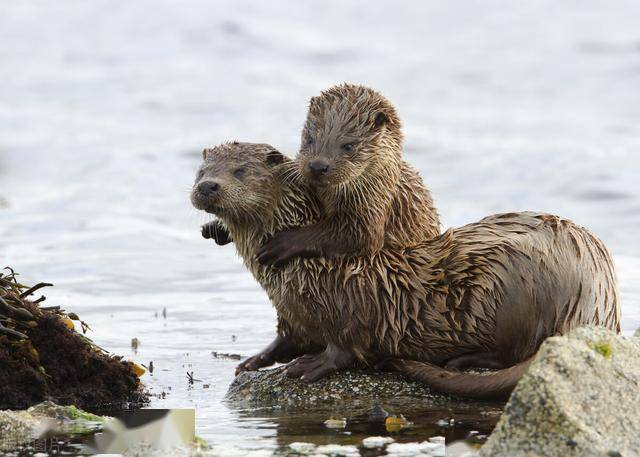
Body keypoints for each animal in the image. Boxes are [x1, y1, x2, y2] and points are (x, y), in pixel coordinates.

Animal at [194, 142, 620, 400]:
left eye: (240, 171)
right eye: (201, 169)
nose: (207, 186)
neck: (304, 272)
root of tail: (596, 301)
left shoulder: (349, 303)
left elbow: (346, 345)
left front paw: (310, 365)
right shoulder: (291, 314)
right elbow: (286, 339)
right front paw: (254, 360)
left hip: (513, 289)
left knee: (516, 351)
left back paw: (465, 361)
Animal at [255, 83, 440, 266]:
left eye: (348, 146)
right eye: (309, 139)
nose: (318, 166)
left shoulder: (374, 204)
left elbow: (359, 235)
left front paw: (280, 244)